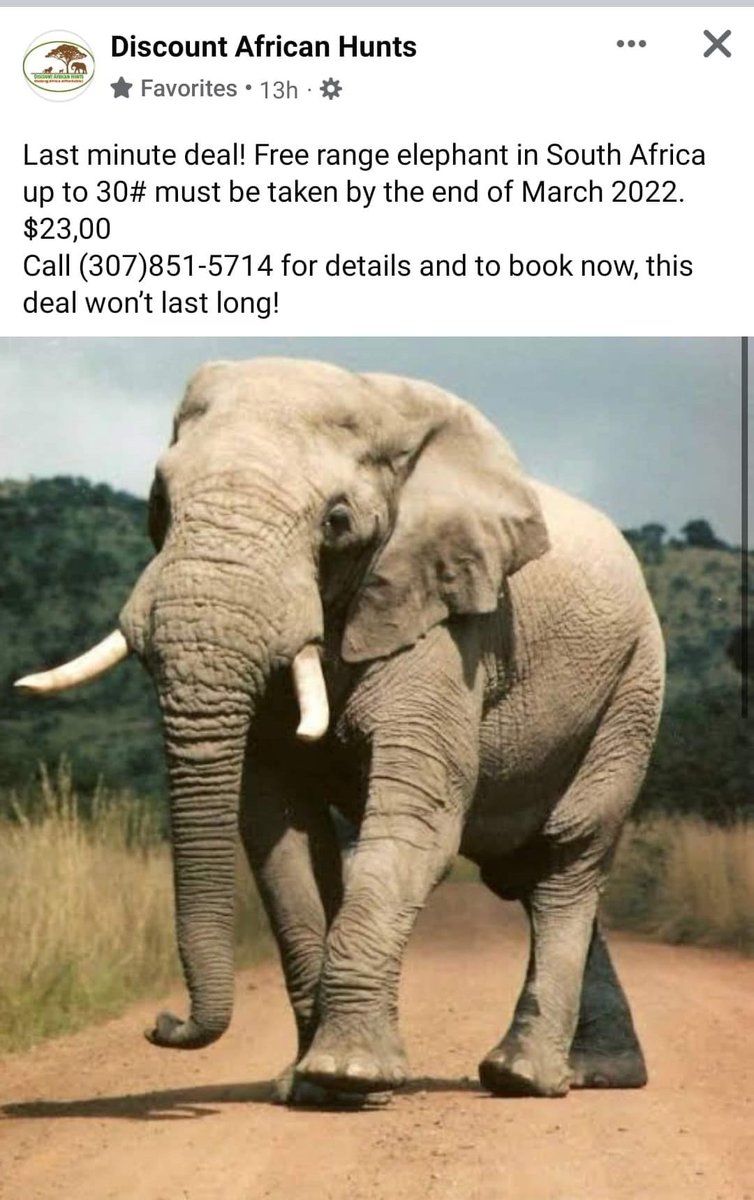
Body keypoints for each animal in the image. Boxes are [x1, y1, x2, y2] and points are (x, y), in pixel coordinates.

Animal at [17, 358, 664, 1103]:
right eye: (158, 501)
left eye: (337, 521)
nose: (162, 1024)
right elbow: (281, 830)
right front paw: (310, 1088)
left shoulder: (446, 622)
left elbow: (415, 820)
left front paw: (345, 1074)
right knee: (523, 872)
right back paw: (598, 1073)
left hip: (633, 688)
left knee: (567, 855)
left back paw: (523, 1077)